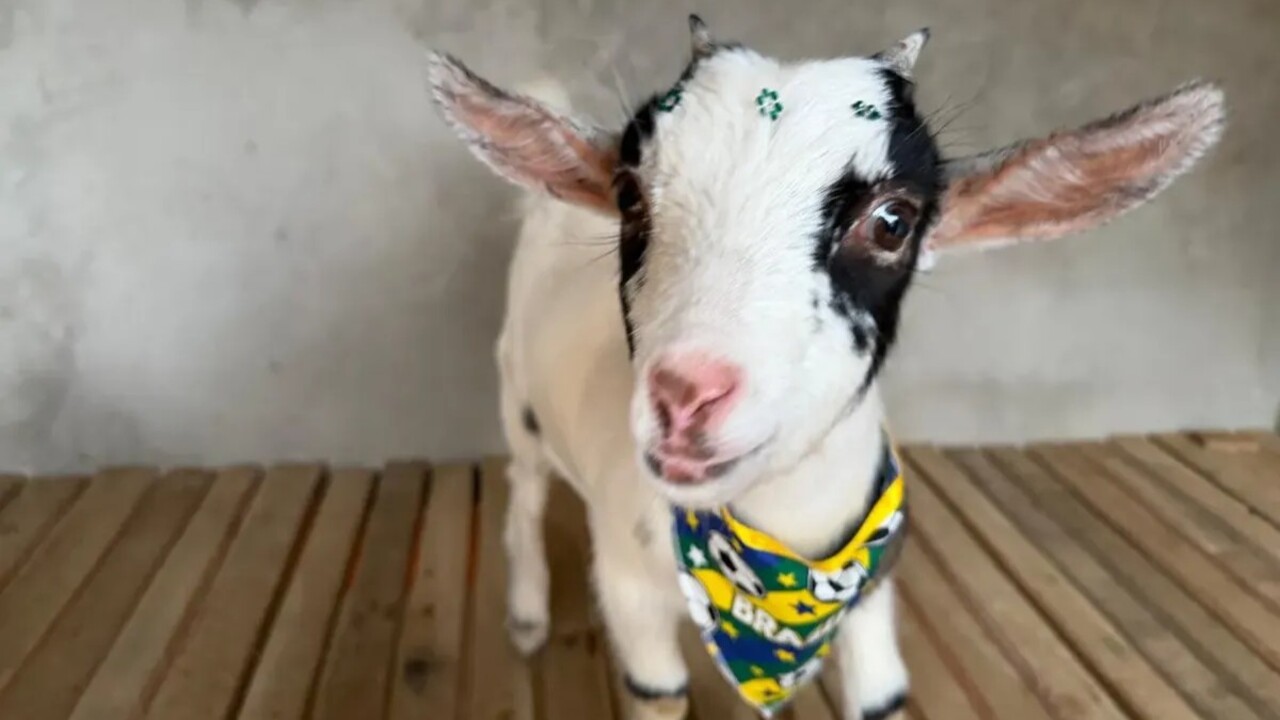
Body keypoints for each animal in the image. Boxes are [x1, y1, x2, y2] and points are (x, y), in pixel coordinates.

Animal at [428, 16, 1224, 720]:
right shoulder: (631, 594)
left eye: (894, 221)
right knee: (525, 490)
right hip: (516, 397)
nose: (686, 397)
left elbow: (880, 696)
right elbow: (659, 691)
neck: (783, 546)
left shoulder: (872, 596)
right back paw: (527, 614)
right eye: (629, 196)